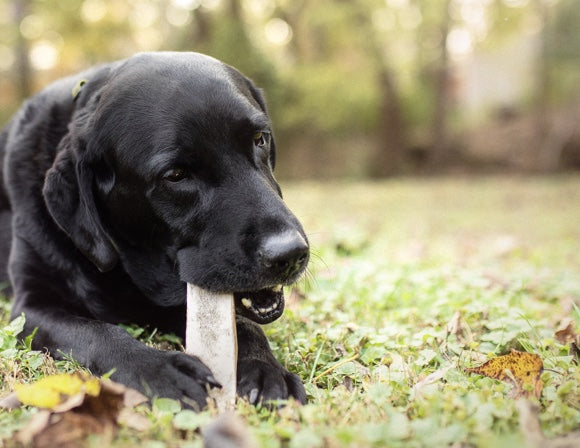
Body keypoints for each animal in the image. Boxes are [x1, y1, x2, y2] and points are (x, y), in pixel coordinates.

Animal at [0, 50, 308, 408]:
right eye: (175, 175)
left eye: (260, 139)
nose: (290, 253)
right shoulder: (31, 307)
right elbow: (96, 332)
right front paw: (160, 370)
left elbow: (244, 325)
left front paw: (263, 368)